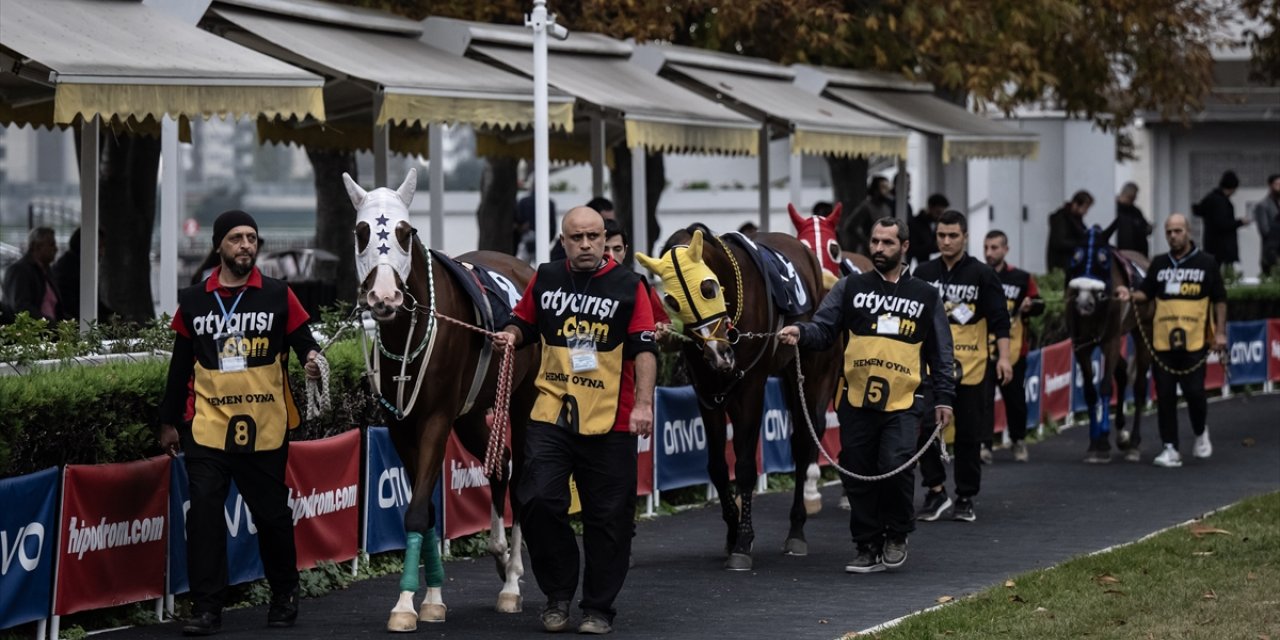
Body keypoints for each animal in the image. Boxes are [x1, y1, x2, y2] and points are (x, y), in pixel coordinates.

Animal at [343, 168, 537, 629]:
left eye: (405, 232)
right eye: (362, 232)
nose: (384, 297)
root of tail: (519, 264)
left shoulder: (435, 418)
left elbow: (417, 510)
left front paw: (405, 605)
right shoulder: (401, 424)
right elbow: (425, 510)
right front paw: (429, 597)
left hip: (520, 399)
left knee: (519, 473)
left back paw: (510, 582)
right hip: (471, 413)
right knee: (500, 464)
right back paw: (499, 554)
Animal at [637, 225, 839, 570]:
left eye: (707, 287)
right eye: (671, 301)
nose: (720, 354)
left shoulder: (751, 388)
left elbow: (744, 465)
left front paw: (743, 541)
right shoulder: (707, 392)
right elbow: (718, 467)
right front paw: (733, 532)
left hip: (810, 367)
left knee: (803, 441)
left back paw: (797, 529)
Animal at [1064, 226, 1157, 465]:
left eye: (1103, 259)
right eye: (1075, 257)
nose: (1083, 303)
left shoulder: (1112, 340)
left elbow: (1105, 385)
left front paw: (1103, 443)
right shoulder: (1080, 344)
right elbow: (1089, 391)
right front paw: (1094, 442)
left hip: (1143, 329)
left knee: (1139, 385)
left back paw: (1133, 442)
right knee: (1122, 371)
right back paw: (1122, 435)